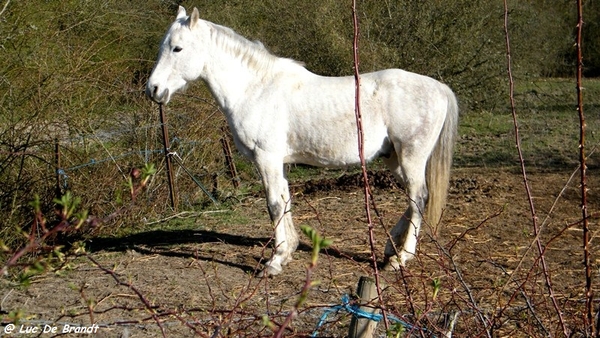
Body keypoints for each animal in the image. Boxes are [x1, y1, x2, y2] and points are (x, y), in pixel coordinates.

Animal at [148, 7, 458, 278]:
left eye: (177, 48)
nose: (153, 89)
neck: (256, 89)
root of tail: (439, 87)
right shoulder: (279, 162)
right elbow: (284, 201)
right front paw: (287, 252)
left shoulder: (266, 159)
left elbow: (273, 204)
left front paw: (274, 261)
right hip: (395, 159)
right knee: (414, 200)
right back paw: (390, 248)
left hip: (411, 157)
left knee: (419, 198)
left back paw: (401, 258)